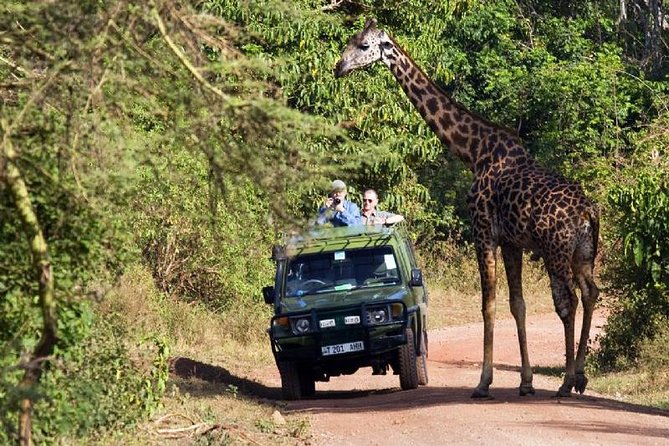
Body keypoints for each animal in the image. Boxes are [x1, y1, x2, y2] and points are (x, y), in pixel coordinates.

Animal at [334, 18, 600, 398]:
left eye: (365, 46)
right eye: (352, 40)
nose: (339, 67)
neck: (473, 152)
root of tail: (588, 212)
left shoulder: (482, 230)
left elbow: (488, 305)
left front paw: (484, 382)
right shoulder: (512, 242)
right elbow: (517, 304)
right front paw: (525, 382)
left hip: (555, 250)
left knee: (567, 301)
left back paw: (566, 381)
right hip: (583, 253)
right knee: (591, 293)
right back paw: (580, 376)